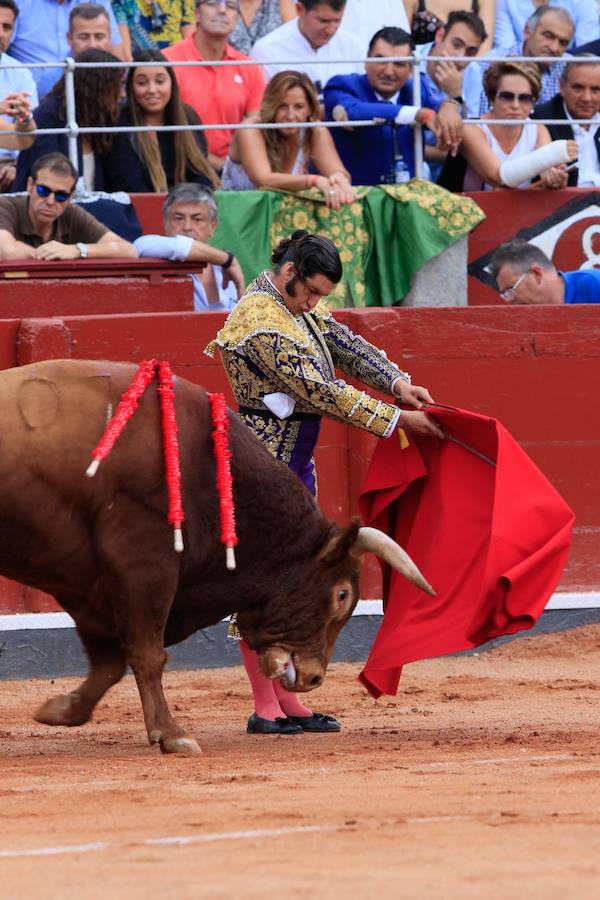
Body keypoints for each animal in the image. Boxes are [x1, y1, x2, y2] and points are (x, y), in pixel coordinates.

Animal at [0, 362, 432, 756]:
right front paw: (173, 735)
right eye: (342, 595)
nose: (313, 679)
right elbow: (147, 654)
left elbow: (109, 663)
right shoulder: (143, 570)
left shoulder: (87, 586)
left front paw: (60, 709)